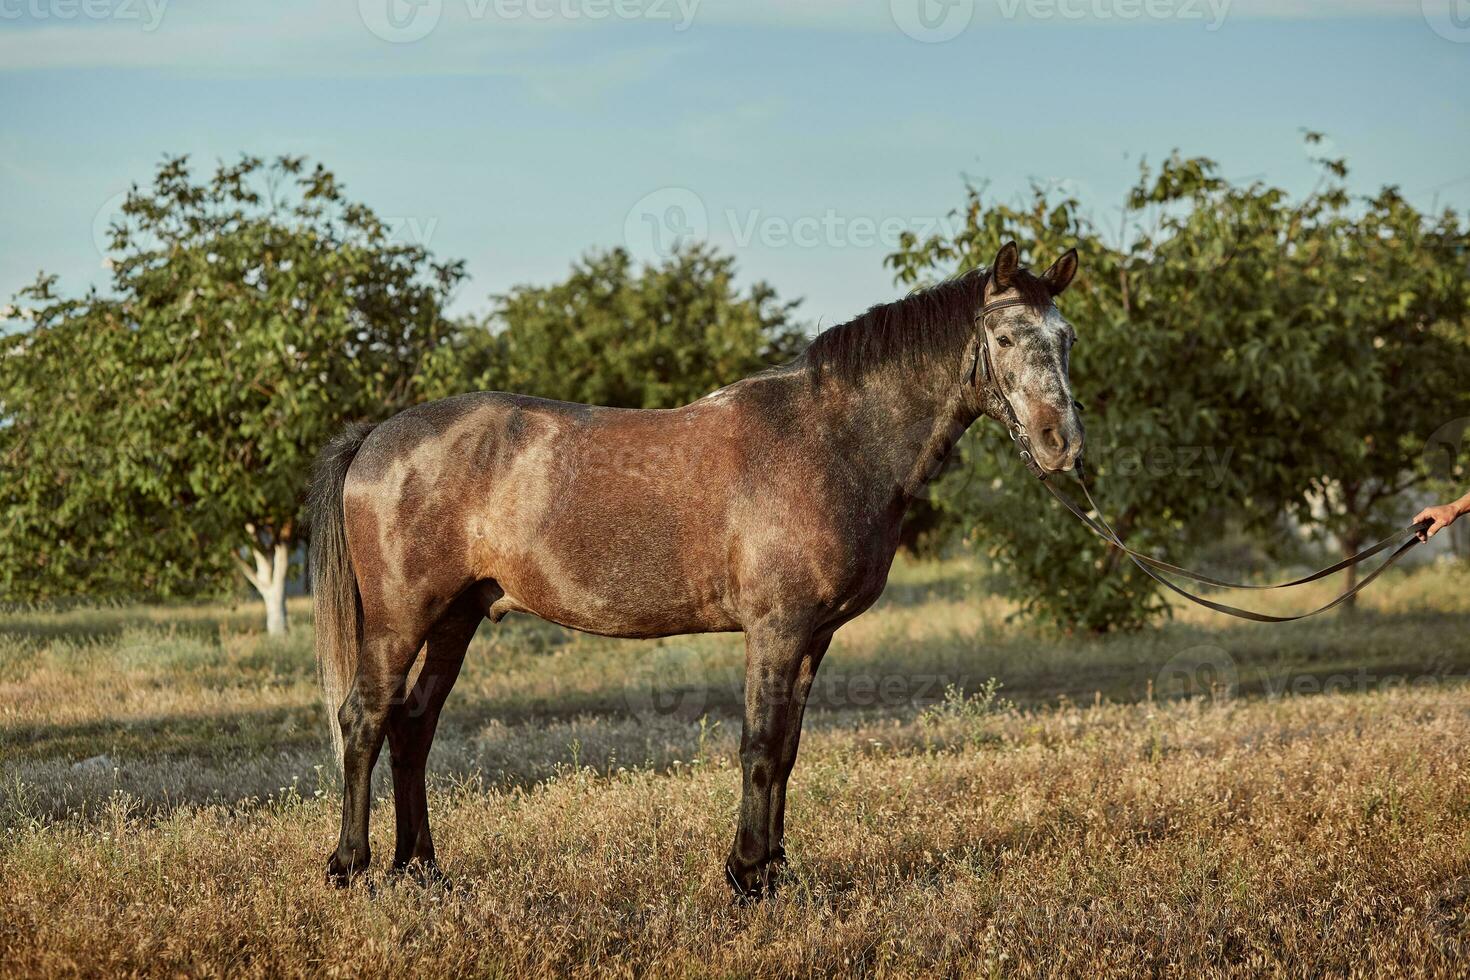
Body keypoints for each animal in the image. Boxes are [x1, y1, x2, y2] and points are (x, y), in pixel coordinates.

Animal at [310, 240, 1087, 899]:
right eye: (1004, 338)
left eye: (1067, 338)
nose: (1063, 444)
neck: (829, 440)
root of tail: (375, 438)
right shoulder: (776, 629)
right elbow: (760, 746)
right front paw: (746, 876)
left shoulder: (815, 637)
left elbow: (788, 749)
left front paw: (774, 870)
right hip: (400, 620)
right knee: (365, 719)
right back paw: (351, 867)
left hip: (457, 616)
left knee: (413, 727)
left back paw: (422, 870)